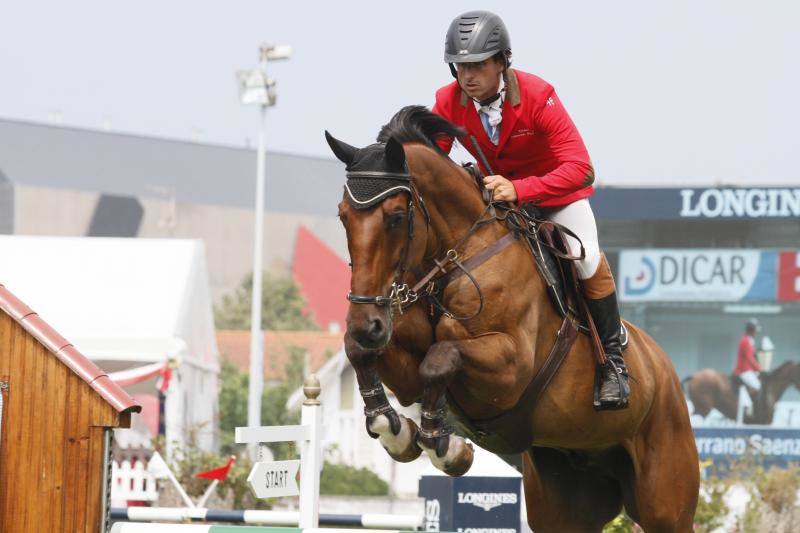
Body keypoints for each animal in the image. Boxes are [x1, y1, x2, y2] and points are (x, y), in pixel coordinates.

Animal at [328, 106, 696, 528]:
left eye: (394, 218)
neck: (457, 257)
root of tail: (665, 369)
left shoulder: (510, 368)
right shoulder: (405, 372)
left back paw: (613, 380)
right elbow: (363, 354)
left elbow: (441, 358)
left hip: (665, 501)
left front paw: (445, 446)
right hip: (564, 498)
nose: (367, 323)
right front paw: (395, 430)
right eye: (343, 217)